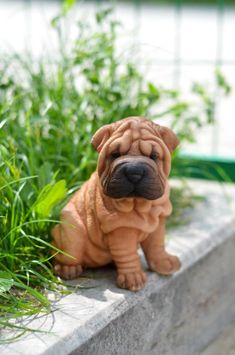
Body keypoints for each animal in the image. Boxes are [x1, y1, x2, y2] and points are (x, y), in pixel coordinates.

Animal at [51, 117, 180, 292]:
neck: (140, 204)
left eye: (153, 156)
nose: (134, 171)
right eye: (115, 154)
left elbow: (157, 245)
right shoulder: (121, 229)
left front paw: (164, 263)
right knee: (63, 253)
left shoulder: (158, 221)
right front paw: (133, 277)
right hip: (72, 234)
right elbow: (127, 254)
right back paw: (67, 269)